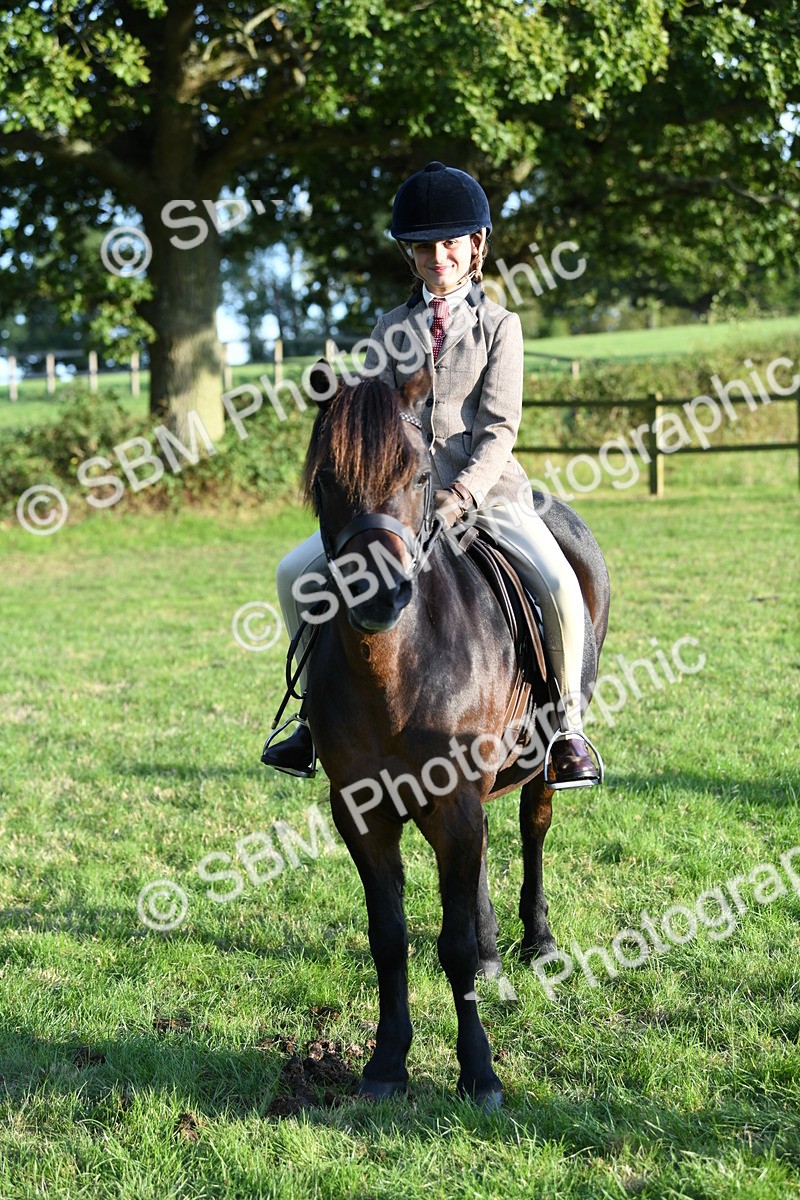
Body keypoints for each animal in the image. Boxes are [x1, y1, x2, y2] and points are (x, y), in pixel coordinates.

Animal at [298, 365, 610, 1108]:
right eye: (325, 480)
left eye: (418, 475)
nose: (377, 595)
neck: (394, 670)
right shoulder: (360, 810)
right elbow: (391, 937)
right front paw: (386, 1064)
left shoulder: (457, 800)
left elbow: (455, 943)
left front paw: (479, 1073)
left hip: (538, 765)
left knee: (531, 828)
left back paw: (537, 942)